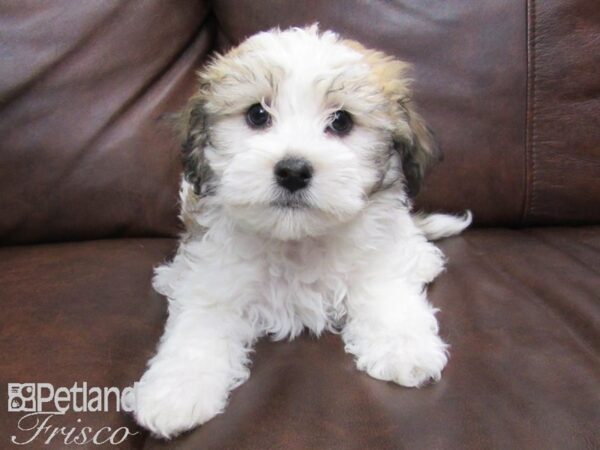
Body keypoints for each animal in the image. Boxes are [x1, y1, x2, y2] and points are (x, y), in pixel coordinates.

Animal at [127, 26, 474, 438]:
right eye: (257, 114)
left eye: (341, 122)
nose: (293, 171)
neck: (296, 241)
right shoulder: (214, 278)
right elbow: (198, 330)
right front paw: (174, 392)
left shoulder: (376, 260)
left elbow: (385, 293)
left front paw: (405, 348)